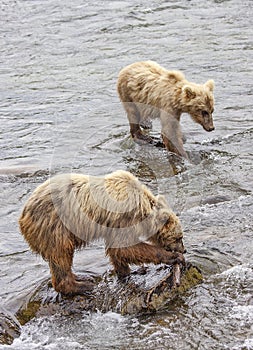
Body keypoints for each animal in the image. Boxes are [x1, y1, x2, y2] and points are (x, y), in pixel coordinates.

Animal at [18, 170, 186, 296]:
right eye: (179, 237)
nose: (184, 249)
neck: (143, 209)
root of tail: (23, 216)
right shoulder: (124, 219)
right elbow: (125, 247)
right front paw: (173, 257)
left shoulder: (115, 225)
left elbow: (117, 251)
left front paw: (130, 271)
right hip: (55, 228)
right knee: (61, 257)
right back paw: (82, 285)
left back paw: (80, 277)